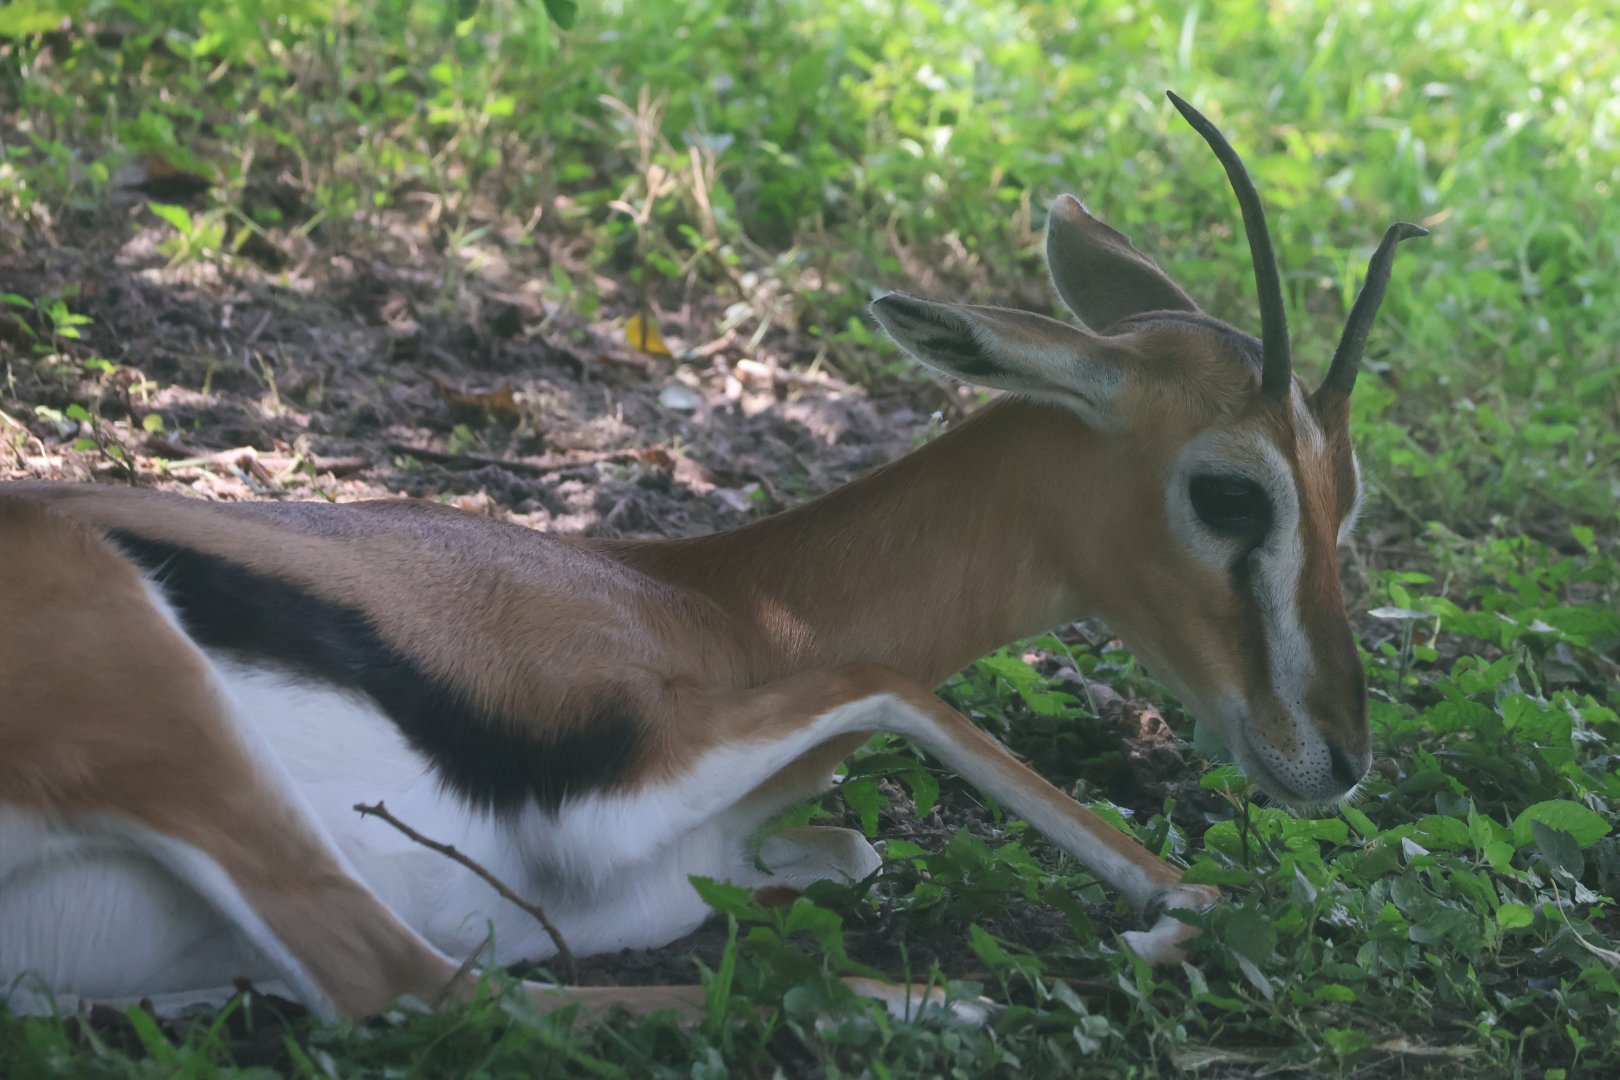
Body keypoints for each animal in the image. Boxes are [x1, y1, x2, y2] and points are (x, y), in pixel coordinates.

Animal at [0, 94, 1423, 1024]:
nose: (1339, 759)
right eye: (1231, 495)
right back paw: (939, 998)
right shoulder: (618, 793)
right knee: (411, 990)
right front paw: (1158, 929)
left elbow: (856, 848)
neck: (712, 598)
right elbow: (905, 694)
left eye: (1346, 498)